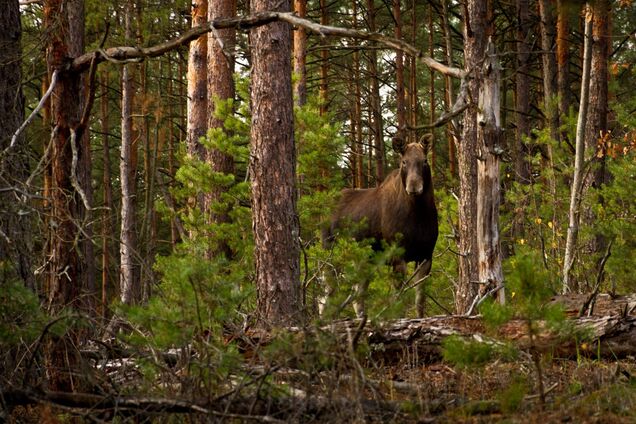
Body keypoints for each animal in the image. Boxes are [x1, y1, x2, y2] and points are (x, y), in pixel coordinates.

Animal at [322, 134, 438, 316]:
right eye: (404, 162)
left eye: (425, 160)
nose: (413, 187)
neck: (419, 214)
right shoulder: (397, 255)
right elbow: (398, 299)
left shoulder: (426, 255)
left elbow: (420, 300)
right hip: (331, 254)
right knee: (325, 297)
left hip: (361, 260)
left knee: (356, 295)